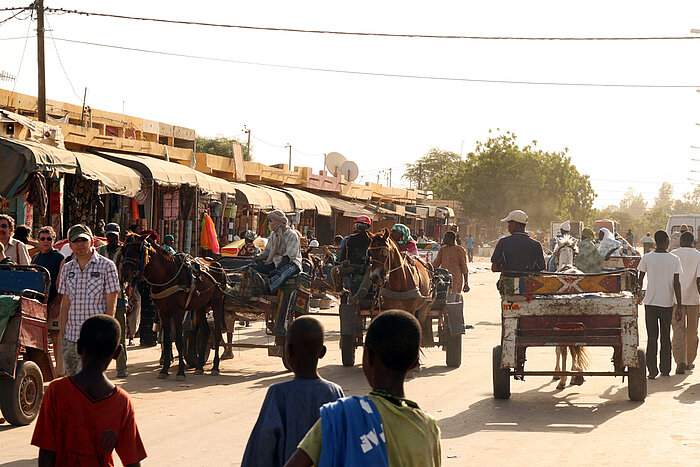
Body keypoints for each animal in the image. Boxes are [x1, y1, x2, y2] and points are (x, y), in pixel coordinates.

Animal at [121, 232, 226, 382]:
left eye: (137, 250)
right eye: (124, 250)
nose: (125, 274)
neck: (166, 274)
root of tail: (218, 265)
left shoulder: (178, 312)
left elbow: (179, 341)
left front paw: (180, 372)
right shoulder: (163, 312)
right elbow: (166, 340)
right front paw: (164, 370)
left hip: (217, 304)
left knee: (217, 332)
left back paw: (215, 367)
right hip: (200, 306)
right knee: (206, 330)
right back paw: (199, 367)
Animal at [552, 236, 592, 390]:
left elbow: (559, 350)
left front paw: (558, 374)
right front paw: (574, 375)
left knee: (563, 348)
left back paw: (563, 379)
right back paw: (577, 376)